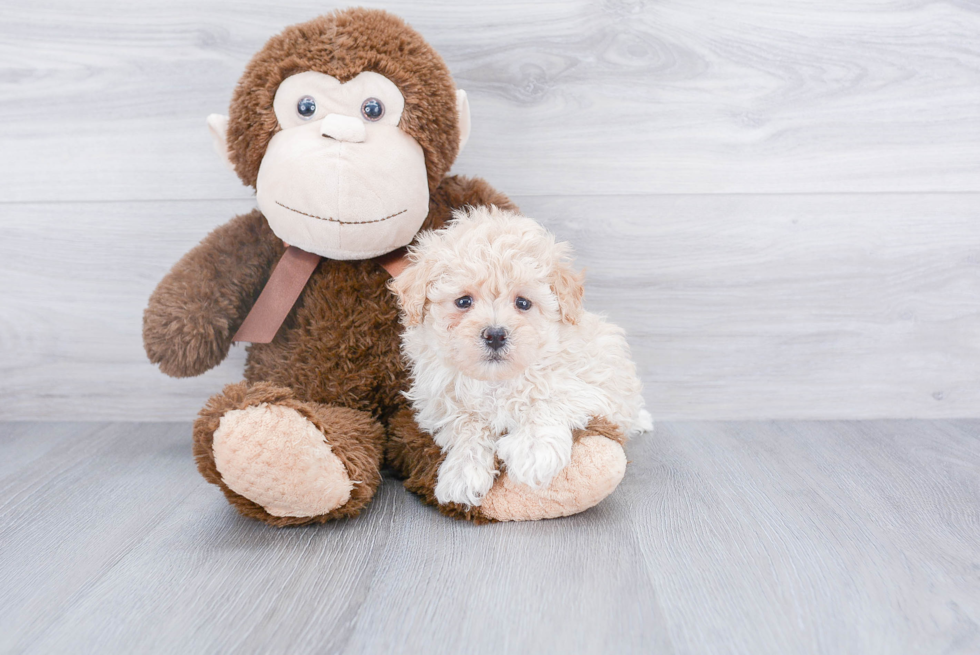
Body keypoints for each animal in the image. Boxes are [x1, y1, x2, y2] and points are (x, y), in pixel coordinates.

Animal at [388, 205, 652, 508]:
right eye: (463, 302)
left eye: (523, 303)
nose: (495, 335)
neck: (496, 380)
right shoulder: (442, 403)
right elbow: (467, 425)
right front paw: (462, 473)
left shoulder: (588, 386)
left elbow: (546, 400)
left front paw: (533, 451)